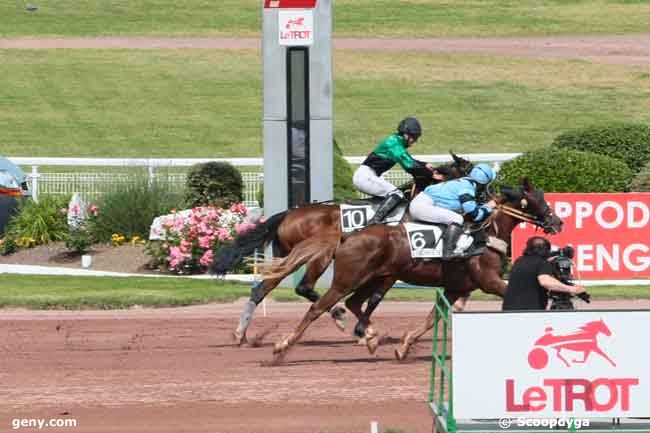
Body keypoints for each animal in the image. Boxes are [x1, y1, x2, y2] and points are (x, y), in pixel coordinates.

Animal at [211, 152, 470, 344]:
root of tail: (288, 213)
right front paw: (366, 331)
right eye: (470, 174)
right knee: (304, 287)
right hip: (320, 256)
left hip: (286, 257)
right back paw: (336, 315)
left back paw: (240, 334)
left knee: (262, 290)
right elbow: (373, 298)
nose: (479, 200)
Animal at [268, 177, 560, 360]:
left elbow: (433, 318)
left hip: (375, 278)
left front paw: (404, 345)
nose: (558, 222)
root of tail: (347, 235)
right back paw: (283, 345)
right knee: (318, 307)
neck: (485, 234)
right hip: (348, 280)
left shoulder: (455, 287)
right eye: (537, 199)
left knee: (353, 303)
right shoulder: (488, 281)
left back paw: (369, 337)